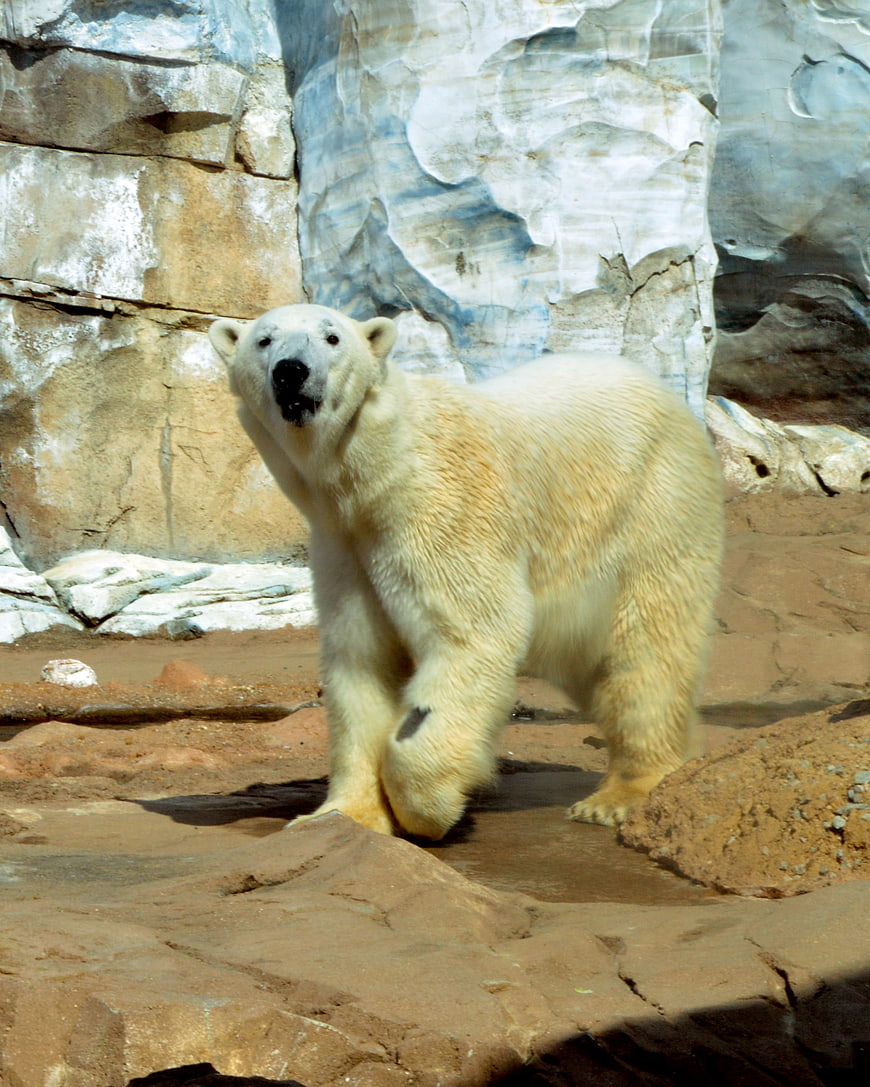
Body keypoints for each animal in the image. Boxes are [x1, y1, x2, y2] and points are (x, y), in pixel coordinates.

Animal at [209, 304, 724, 840]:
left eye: (332, 337)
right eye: (264, 340)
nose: (292, 370)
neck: (375, 471)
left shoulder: (442, 511)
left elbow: (473, 632)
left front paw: (428, 808)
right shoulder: (344, 546)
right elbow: (362, 662)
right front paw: (342, 814)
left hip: (652, 501)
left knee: (645, 645)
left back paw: (621, 796)